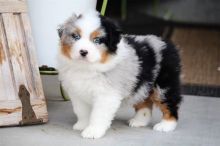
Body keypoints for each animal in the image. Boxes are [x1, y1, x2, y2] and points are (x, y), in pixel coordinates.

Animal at [56, 10, 182, 138]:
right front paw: (82, 125)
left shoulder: (106, 94)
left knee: (169, 104)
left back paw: (166, 125)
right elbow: (82, 111)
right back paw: (139, 121)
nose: (83, 52)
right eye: (76, 36)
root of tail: (167, 43)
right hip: (142, 85)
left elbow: (98, 115)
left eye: (97, 40)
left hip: (164, 84)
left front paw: (93, 131)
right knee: (144, 103)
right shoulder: (77, 93)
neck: (87, 67)